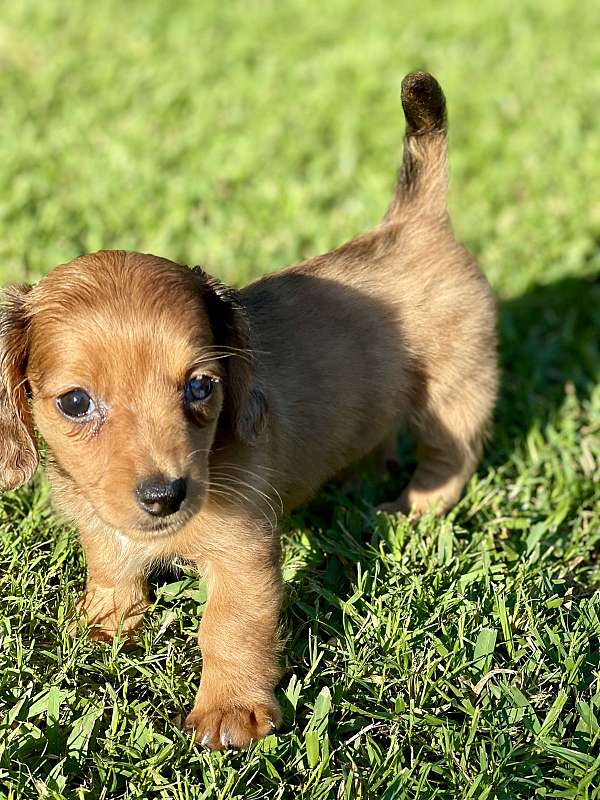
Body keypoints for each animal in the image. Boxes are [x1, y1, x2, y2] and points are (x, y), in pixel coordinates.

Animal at [0, 72, 496, 748]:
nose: (165, 497)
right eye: (76, 403)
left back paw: (410, 508)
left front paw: (230, 710)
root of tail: (414, 222)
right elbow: (112, 572)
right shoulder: (106, 529)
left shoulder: (244, 552)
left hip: (455, 391)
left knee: (449, 459)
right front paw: (104, 627)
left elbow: (230, 627)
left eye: (200, 388)